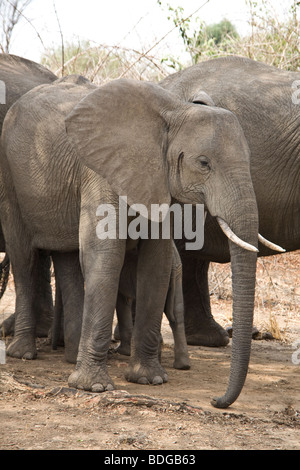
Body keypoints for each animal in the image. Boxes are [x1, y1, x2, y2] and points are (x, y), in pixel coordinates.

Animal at [0, 72, 262, 408]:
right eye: (204, 163)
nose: (217, 400)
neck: (174, 112)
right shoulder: (100, 170)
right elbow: (106, 256)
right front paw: (93, 387)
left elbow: (157, 262)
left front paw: (149, 379)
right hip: (9, 175)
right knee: (24, 258)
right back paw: (24, 353)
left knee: (68, 258)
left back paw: (70, 357)